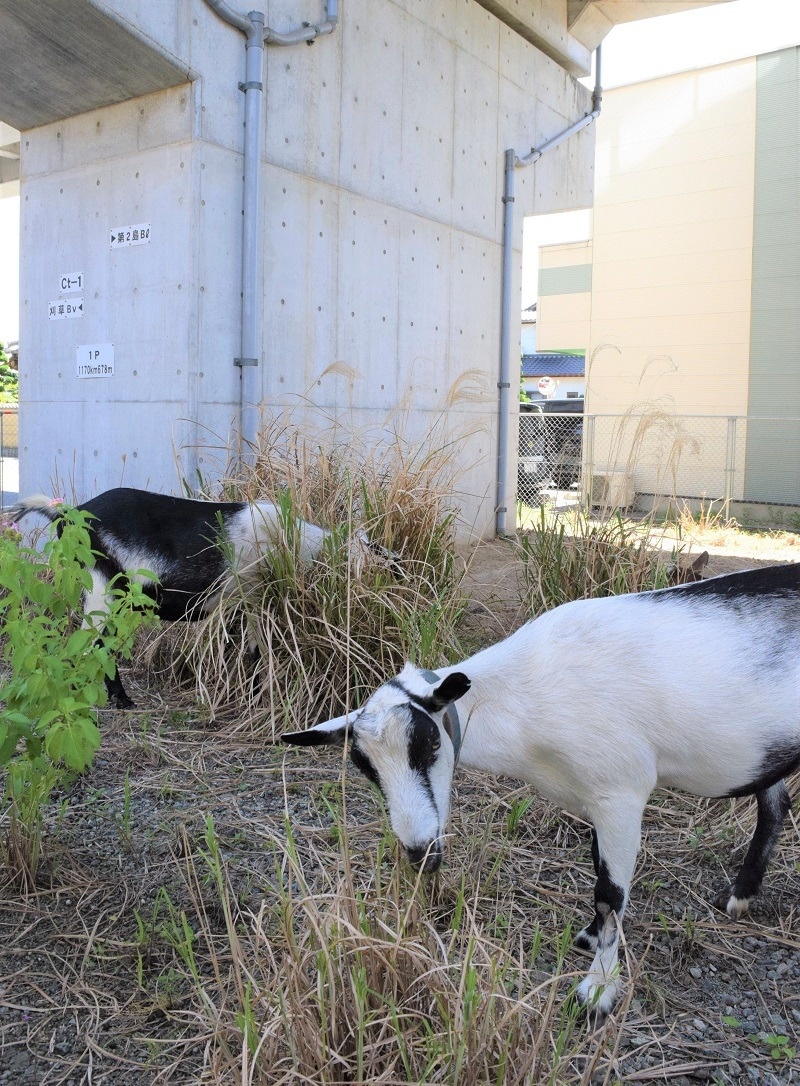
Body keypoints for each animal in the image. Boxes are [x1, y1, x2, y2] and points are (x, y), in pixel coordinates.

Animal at [10, 488, 386, 708]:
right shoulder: (251, 595)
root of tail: (68, 513)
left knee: (102, 646)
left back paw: (117, 699)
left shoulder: (240, 603)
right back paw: (111, 701)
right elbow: (256, 651)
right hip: (105, 589)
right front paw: (255, 698)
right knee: (92, 645)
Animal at [284, 564, 794, 1020]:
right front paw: (591, 939)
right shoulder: (594, 799)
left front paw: (598, 990)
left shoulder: (620, 792)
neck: (524, 700)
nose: (420, 852)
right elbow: (597, 869)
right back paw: (741, 895)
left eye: (430, 743)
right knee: (776, 802)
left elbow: (610, 892)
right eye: (365, 767)